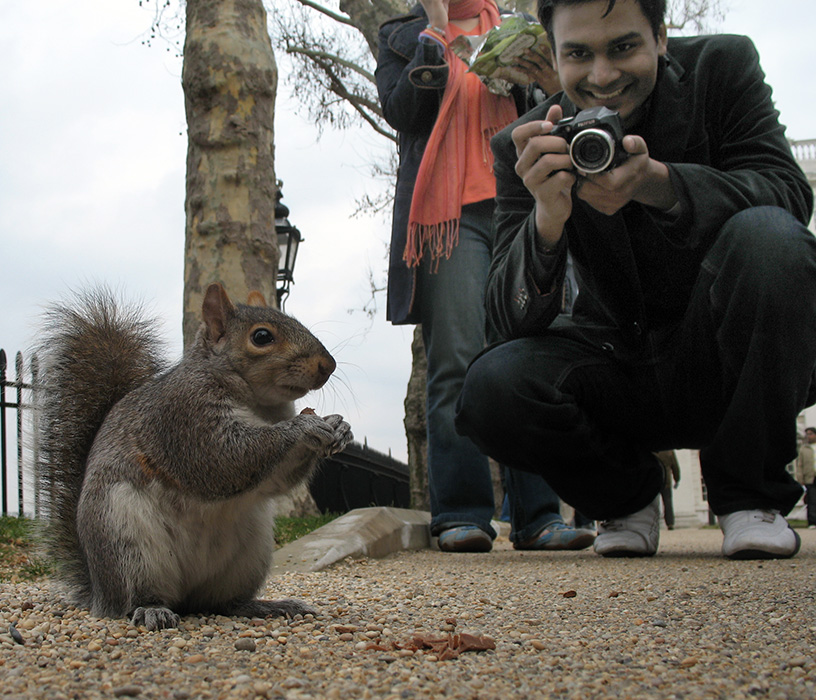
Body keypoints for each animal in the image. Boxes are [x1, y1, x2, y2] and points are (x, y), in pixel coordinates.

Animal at [35, 282, 350, 632]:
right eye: (261, 337)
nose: (328, 365)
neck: (258, 404)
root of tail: (100, 594)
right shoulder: (185, 416)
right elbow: (224, 457)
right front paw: (303, 426)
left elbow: (276, 481)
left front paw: (339, 426)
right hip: (125, 542)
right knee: (136, 597)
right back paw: (152, 610)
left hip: (249, 556)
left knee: (223, 603)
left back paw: (267, 606)